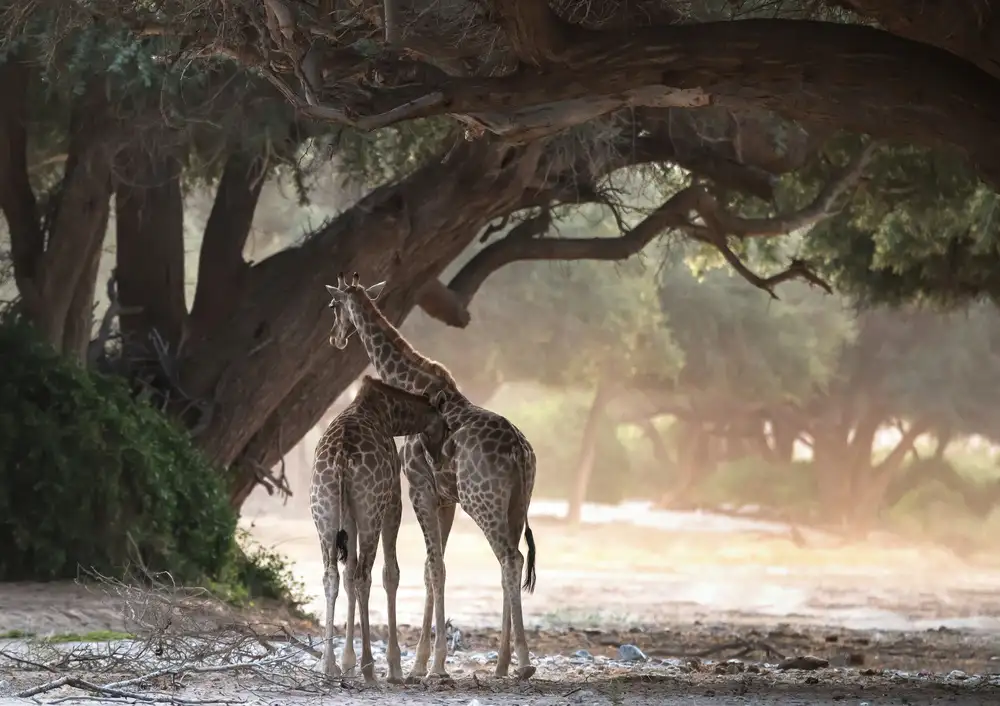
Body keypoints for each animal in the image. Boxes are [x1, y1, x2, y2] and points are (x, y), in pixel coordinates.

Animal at [310, 373, 441, 684]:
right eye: (445, 427)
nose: (440, 457)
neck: (389, 415)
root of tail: (341, 459)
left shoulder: (348, 517)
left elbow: (346, 576)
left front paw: (347, 663)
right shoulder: (393, 501)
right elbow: (390, 574)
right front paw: (393, 668)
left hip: (324, 511)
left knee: (332, 575)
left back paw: (327, 665)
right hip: (372, 509)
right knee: (363, 576)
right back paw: (369, 666)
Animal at [325, 272, 539, 681]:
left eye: (333, 306)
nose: (335, 337)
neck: (411, 381)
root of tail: (520, 453)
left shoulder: (419, 488)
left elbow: (435, 568)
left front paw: (434, 665)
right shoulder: (445, 499)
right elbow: (429, 569)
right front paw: (421, 663)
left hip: (482, 501)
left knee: (510, 559)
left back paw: (522, 662)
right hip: (517, 505)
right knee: (513, 560)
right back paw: (502, 663)